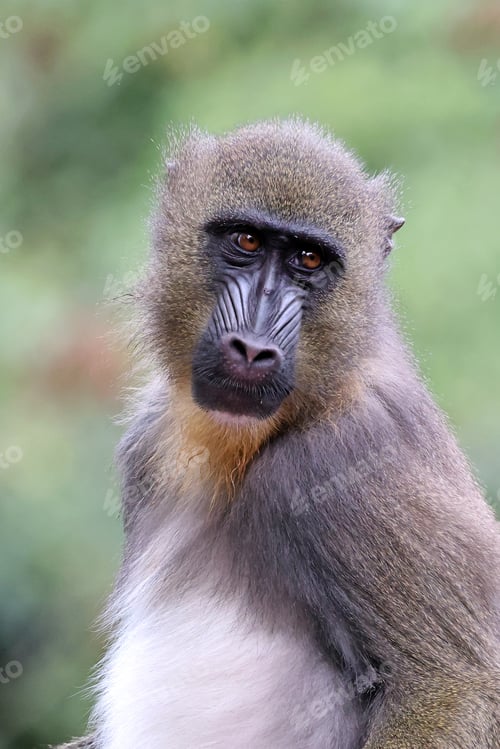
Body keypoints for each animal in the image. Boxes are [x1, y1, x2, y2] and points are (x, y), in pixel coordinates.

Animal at [55, 119, 500, 749]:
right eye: (246, 241)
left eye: (308, 259)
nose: (253, 346)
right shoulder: (146, 445)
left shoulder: (349, 460)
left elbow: (455, 686)